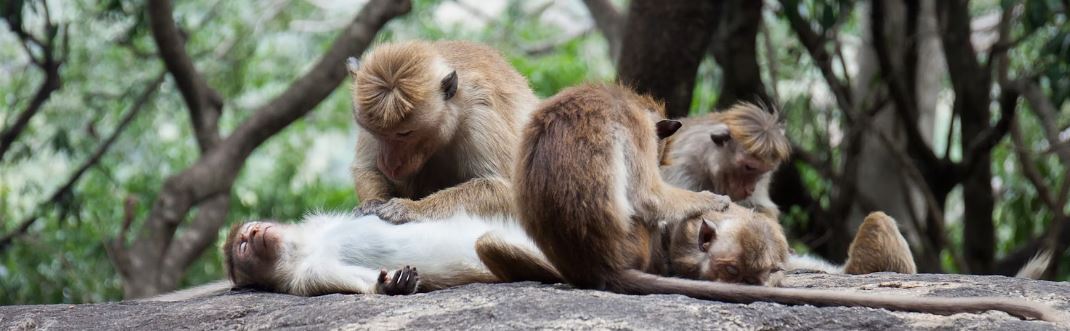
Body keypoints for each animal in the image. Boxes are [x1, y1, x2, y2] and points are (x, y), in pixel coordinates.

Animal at [346, 39, 539, 222]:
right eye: (376, 133)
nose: (388, 165)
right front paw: (372, 202)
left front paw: (414, 208)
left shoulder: (480, 116)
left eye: (404, 133)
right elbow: (367, 168)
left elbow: (505, 189)